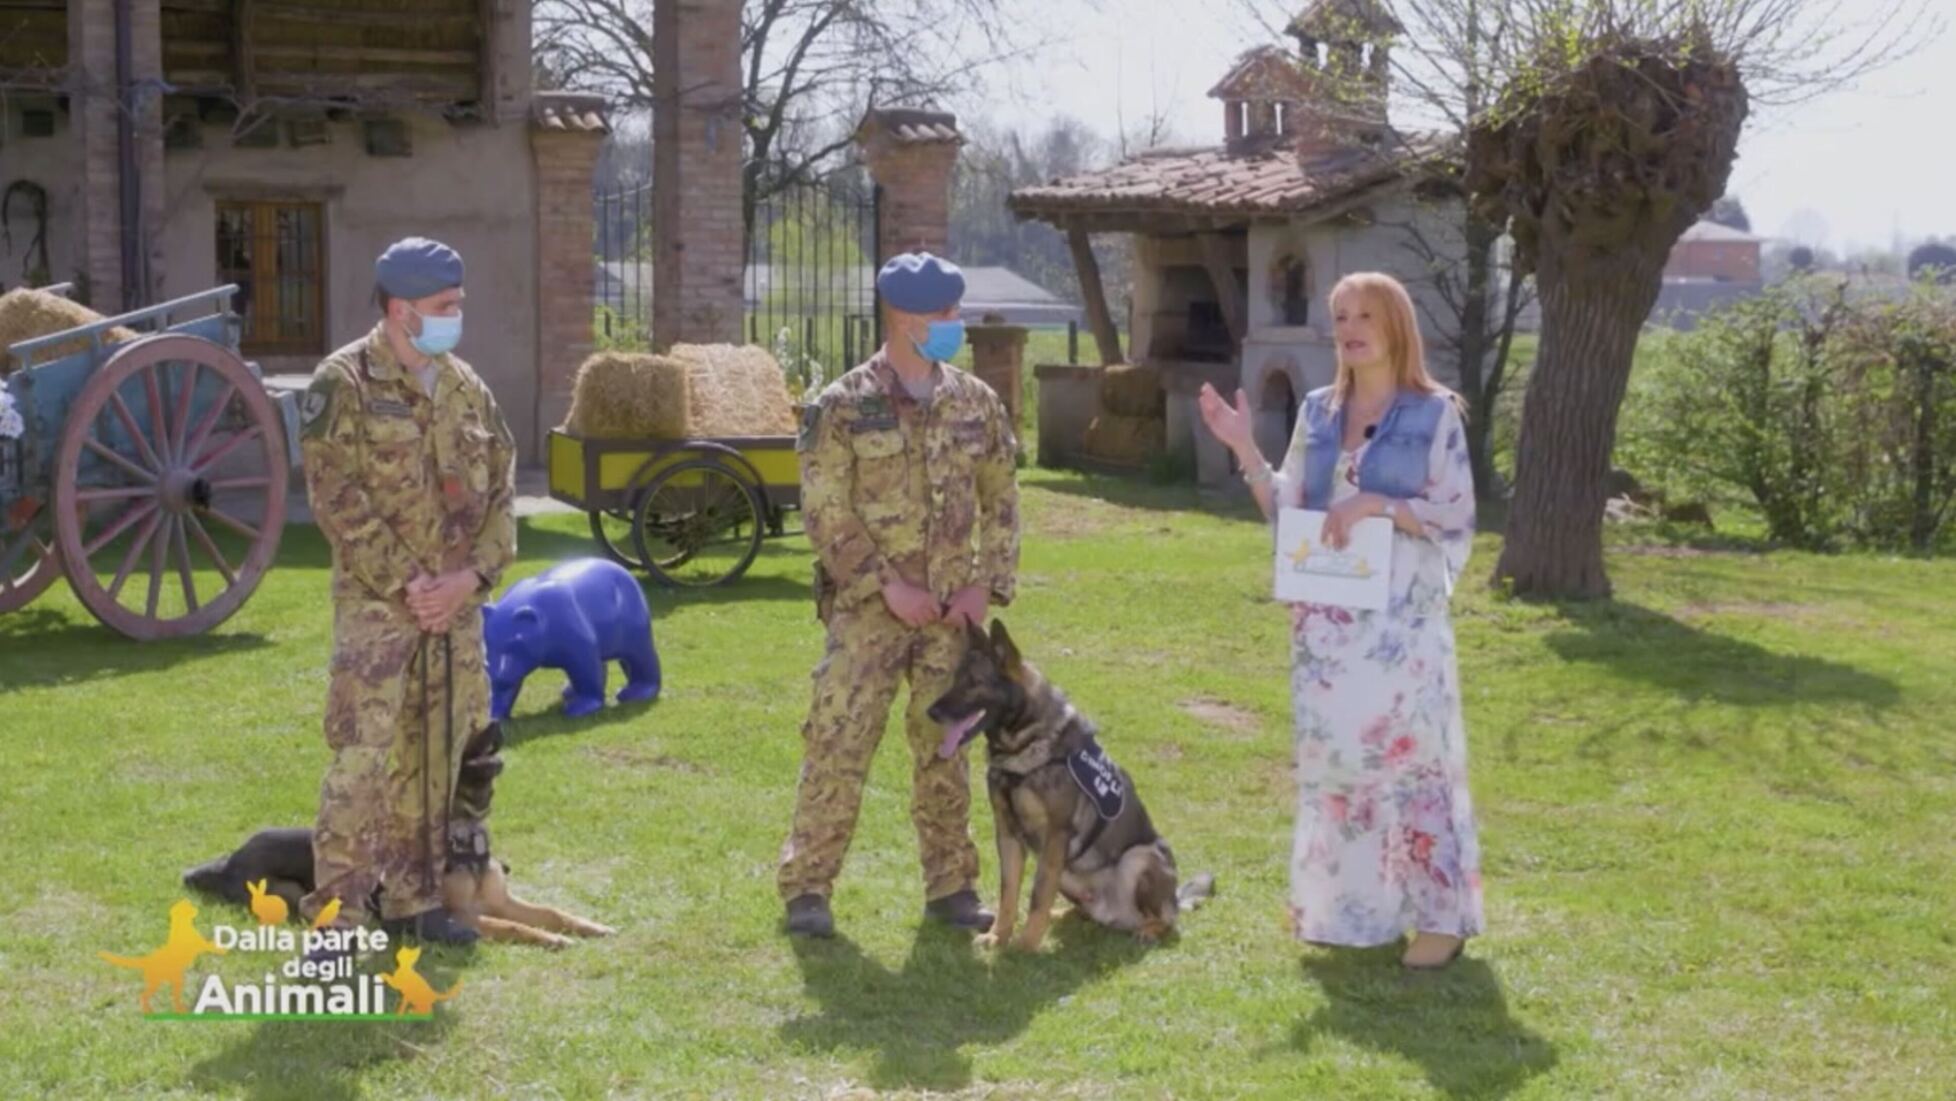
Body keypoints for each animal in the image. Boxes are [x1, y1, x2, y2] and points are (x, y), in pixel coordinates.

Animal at [182, 723, 614, 946]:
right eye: (459, 746)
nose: (498, 723)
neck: (467, 836)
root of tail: (227, 860)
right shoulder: (458, 915)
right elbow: (512, 926)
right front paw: (551, 939)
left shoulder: (502, 901)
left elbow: (552, 913)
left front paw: (590, 926)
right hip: (284, 893)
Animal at [927, 621, 1212, 946]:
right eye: (954, 680)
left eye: (974, 682)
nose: (931, 712)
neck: (1024, 745)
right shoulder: (1008, 834)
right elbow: (1008, 892)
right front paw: (999, 936)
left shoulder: (1055, 835)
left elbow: (1038, 894)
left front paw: (1025, 945)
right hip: (1067, 872)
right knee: (1082, 910)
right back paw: (1061, 915)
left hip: (1138, 858)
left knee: (1167, 922)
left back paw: (1148, 930)